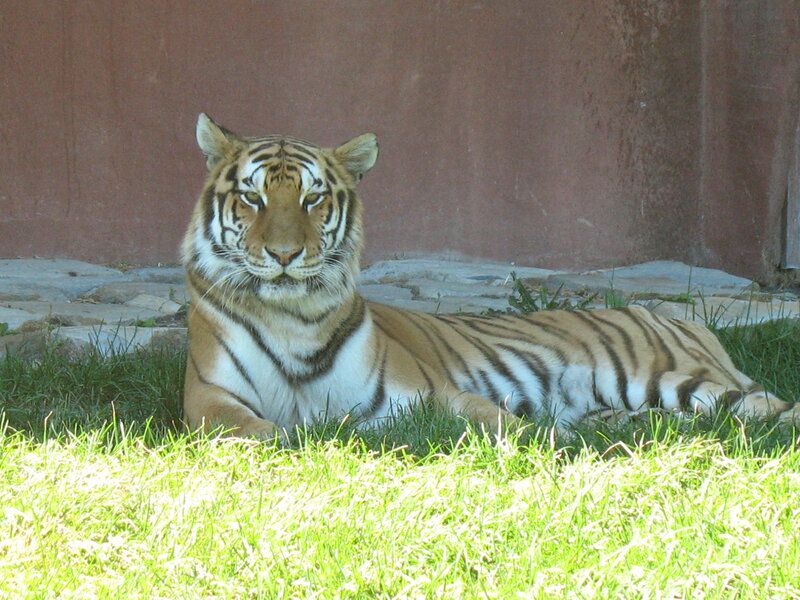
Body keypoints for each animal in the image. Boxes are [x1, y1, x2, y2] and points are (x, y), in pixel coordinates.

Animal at [182, 113, 799, 439]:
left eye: (312, 199)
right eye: (253, 198)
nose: (285, 254)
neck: (293, 317)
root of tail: (675, 315)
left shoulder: (428, 392)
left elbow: (506, 425)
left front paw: (551, 443)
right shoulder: (209, 401)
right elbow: (265, 433)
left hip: (681, 380)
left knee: (772, 410)